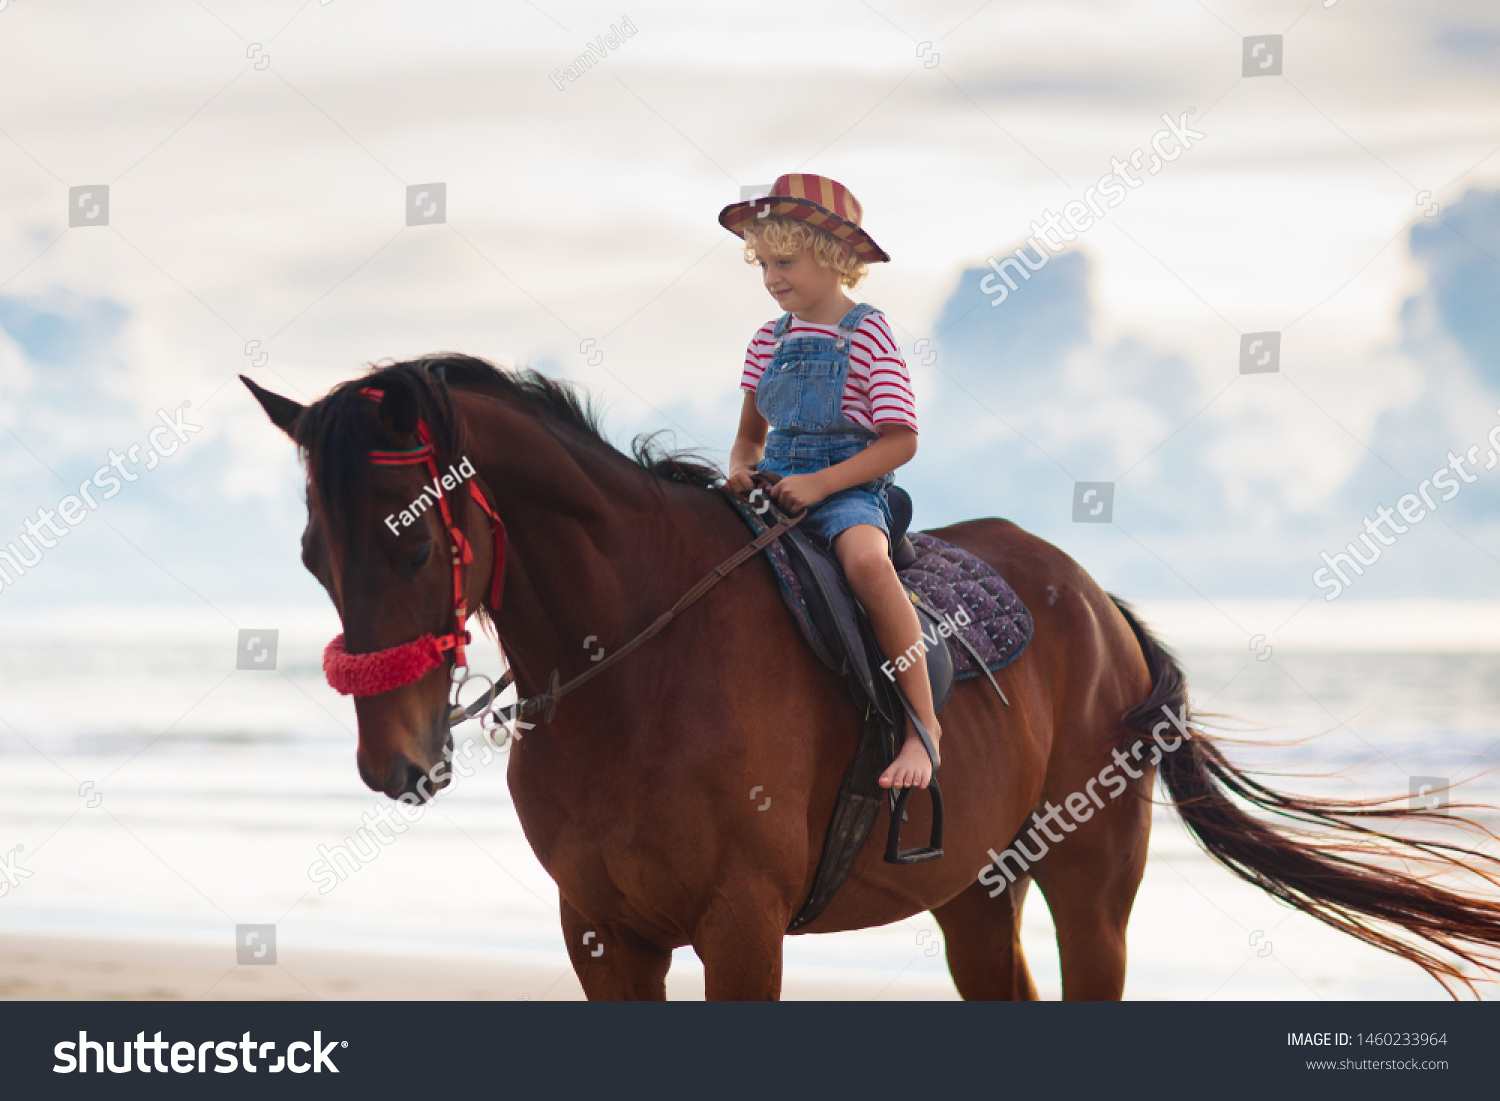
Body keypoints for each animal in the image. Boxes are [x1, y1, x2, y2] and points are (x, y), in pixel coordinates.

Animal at [240, 358, 1500, 1002]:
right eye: (312, 557)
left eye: (412, 546)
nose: (393, 759)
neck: (636, 673)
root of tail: (1102, 608)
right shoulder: (600, 932)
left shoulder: (741, 928)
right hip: (977, 892)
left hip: (1090, 883)